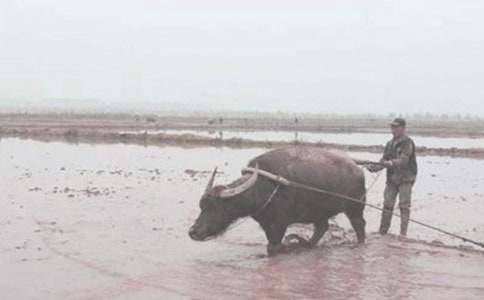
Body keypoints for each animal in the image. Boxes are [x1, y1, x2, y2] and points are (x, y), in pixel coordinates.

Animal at [187, 145, 364, 255]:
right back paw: (307, 244)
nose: (193, 232)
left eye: (216, 207)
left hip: (354, 208)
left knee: (359, 226)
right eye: (202, 206)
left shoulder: (279, 225)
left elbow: (273, 248)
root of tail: (358, 169)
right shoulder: (266, 224)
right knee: (322, 227)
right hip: (319, 213)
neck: (261, 187)